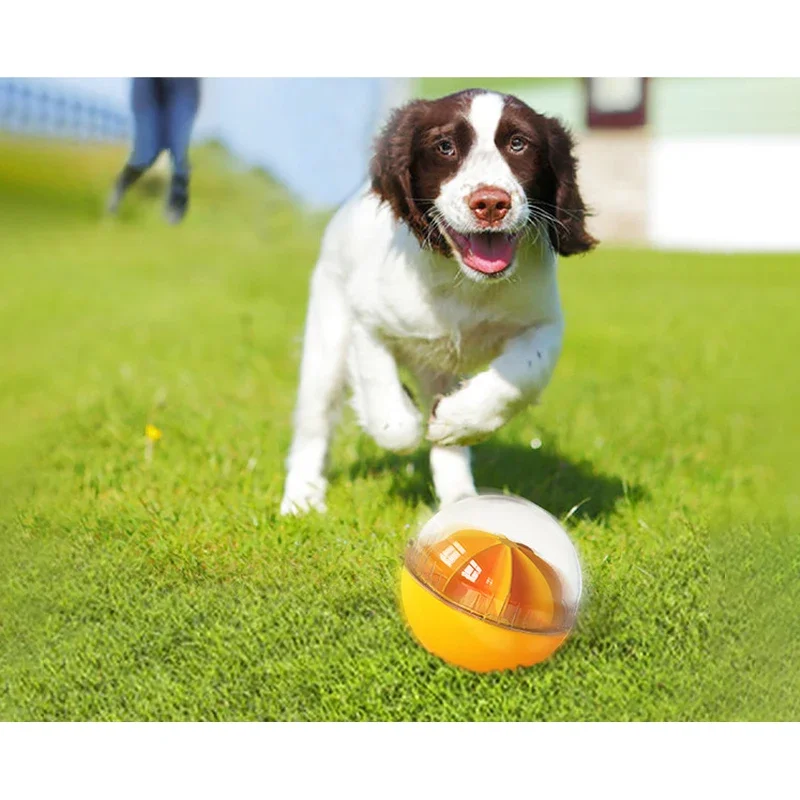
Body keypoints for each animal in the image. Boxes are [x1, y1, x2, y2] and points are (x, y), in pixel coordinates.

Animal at [280, 86, 592, 512]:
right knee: (314, 421)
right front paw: (405, 418)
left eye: (518, 144)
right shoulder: (366, 321)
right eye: (445, 147)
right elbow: (387, 409)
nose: (491, 203)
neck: (463, 282)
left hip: (439, 370)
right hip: (327, 338)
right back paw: (302, 498)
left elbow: (522, 376)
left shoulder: (543, 323)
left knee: (448, 445)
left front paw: (457, 420)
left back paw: (460, 497)